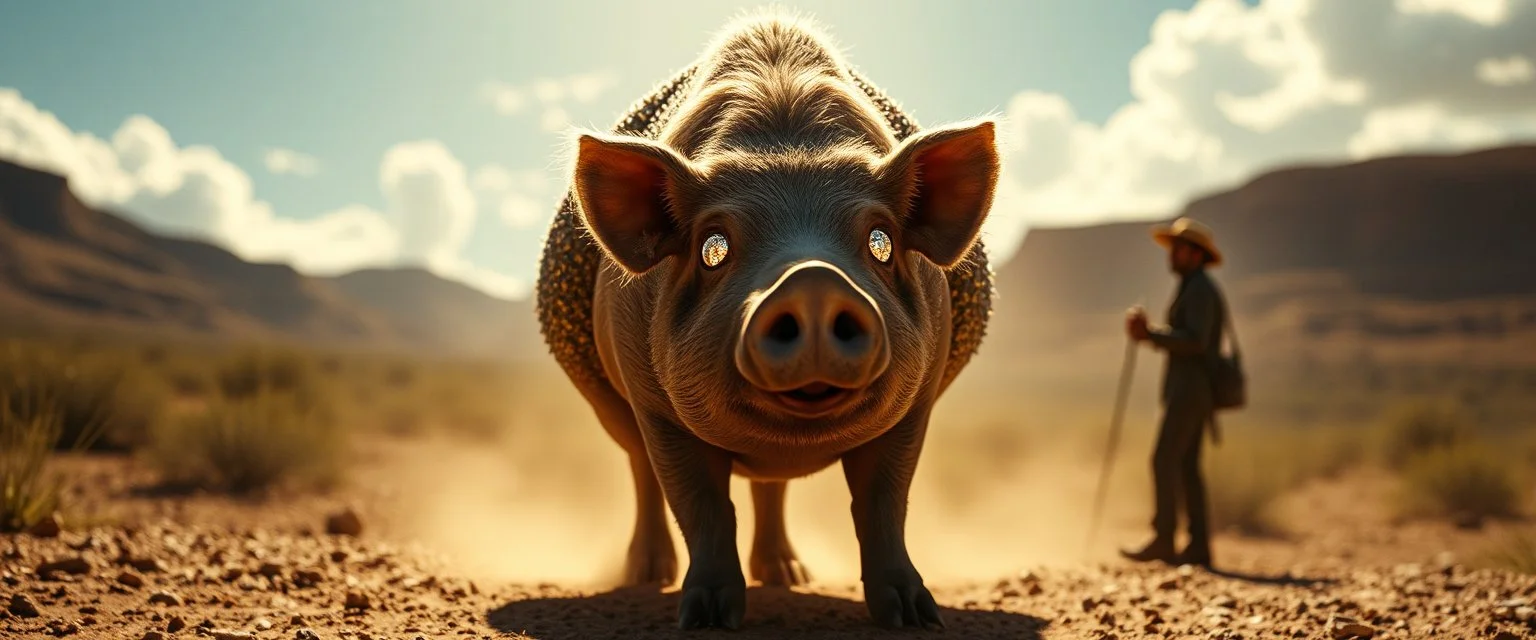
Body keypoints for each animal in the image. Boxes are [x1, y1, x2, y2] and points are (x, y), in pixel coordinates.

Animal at [535, 11, 998, 630]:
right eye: (713, 248)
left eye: (881, 242)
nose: (813, 280)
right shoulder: (655, 404)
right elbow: (700, 502)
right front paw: (705, 620)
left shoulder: (917, 400)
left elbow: (883, 501)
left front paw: (916, 618)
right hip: (610, 406)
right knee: (642, 471)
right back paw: (644, 576)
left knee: (771, 487)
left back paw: (788, 577)